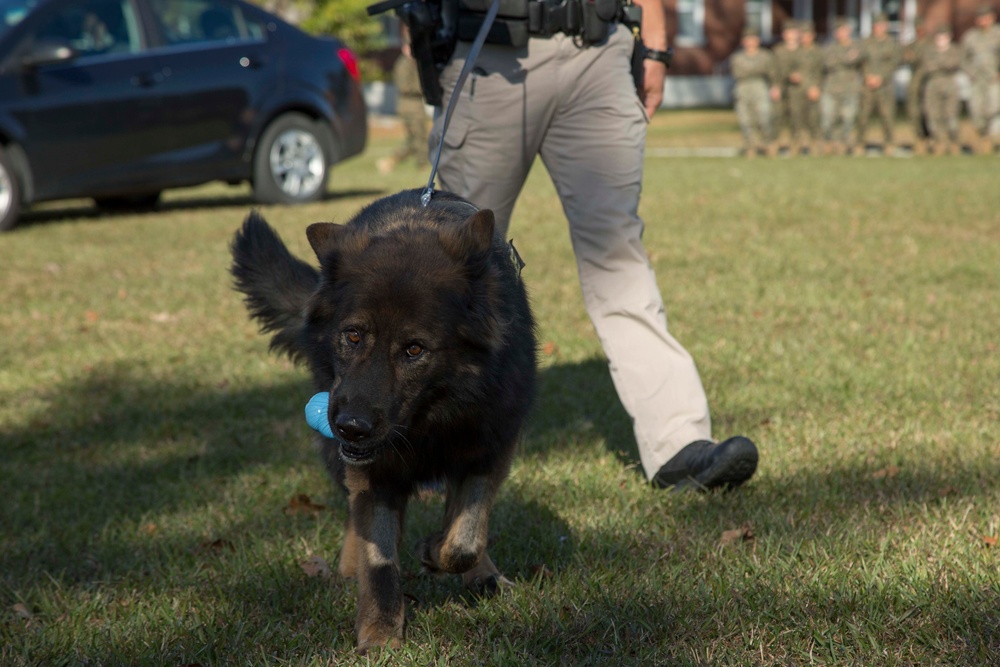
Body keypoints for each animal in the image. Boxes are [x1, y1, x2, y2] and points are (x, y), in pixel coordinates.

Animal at [229, 188, 536, 652]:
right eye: (353, 335)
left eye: (414, 349)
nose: (351, 427)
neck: (428, 421)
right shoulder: (374, 474)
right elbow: (379, 559)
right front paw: (380, 632)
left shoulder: (490, 449)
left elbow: (465, 536)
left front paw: (439, 554)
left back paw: (482, 574)